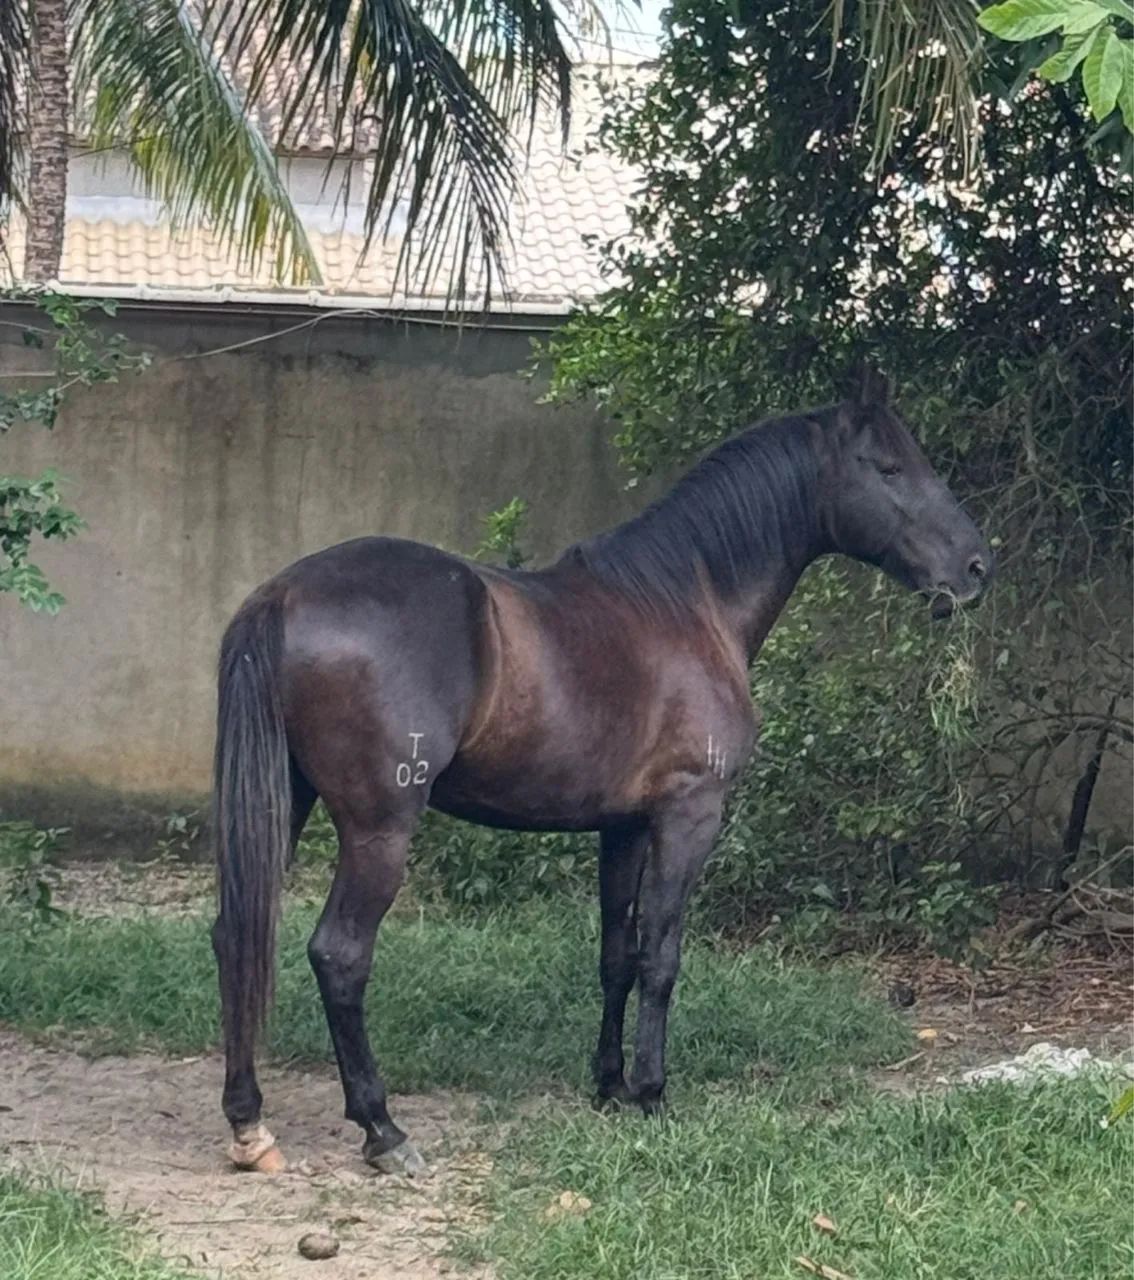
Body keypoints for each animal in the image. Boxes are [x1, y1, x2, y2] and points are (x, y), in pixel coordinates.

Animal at [210, 369, 991, 1177]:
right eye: (890, 468)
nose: (975, 569)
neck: (685, 603)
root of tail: (282, 595)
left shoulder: (623, 828)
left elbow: (616, 954)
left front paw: (610, 1084)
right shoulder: (689, 815)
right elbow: (661, 955)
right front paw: (651, 1092)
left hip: (285, 804)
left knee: (235, 934)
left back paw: (249, 1123)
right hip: (378, 832)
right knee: (339, 956)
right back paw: (382, 1128)